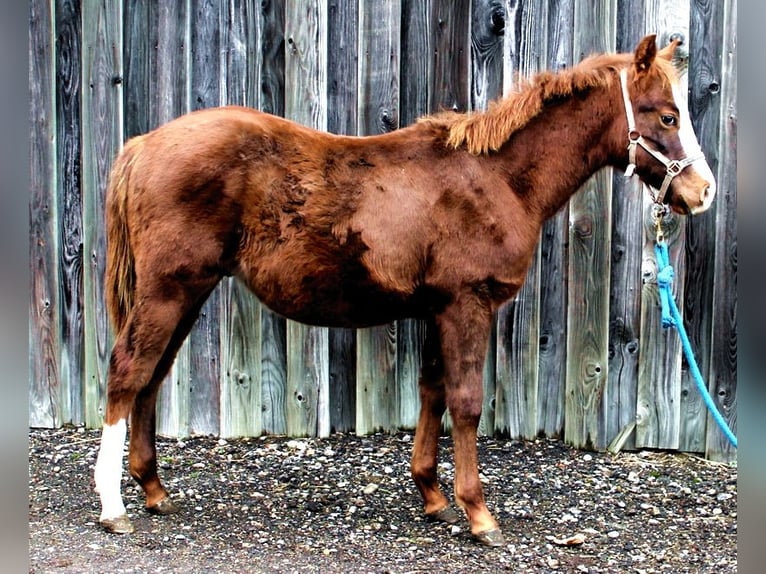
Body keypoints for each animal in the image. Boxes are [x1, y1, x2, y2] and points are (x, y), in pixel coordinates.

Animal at [93, 36, 716, 548]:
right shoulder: (468, 304)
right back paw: (112, 506)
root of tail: (143, 144)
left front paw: (434, 498)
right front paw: (479, 515)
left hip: (188, 292)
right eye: (667, 115)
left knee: (151, 376)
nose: (703, 192)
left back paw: (153, 491)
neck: (497, 180)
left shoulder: (440, 309)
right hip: (168, 289)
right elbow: (465, 402)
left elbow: (432, 393)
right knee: (127, 371)